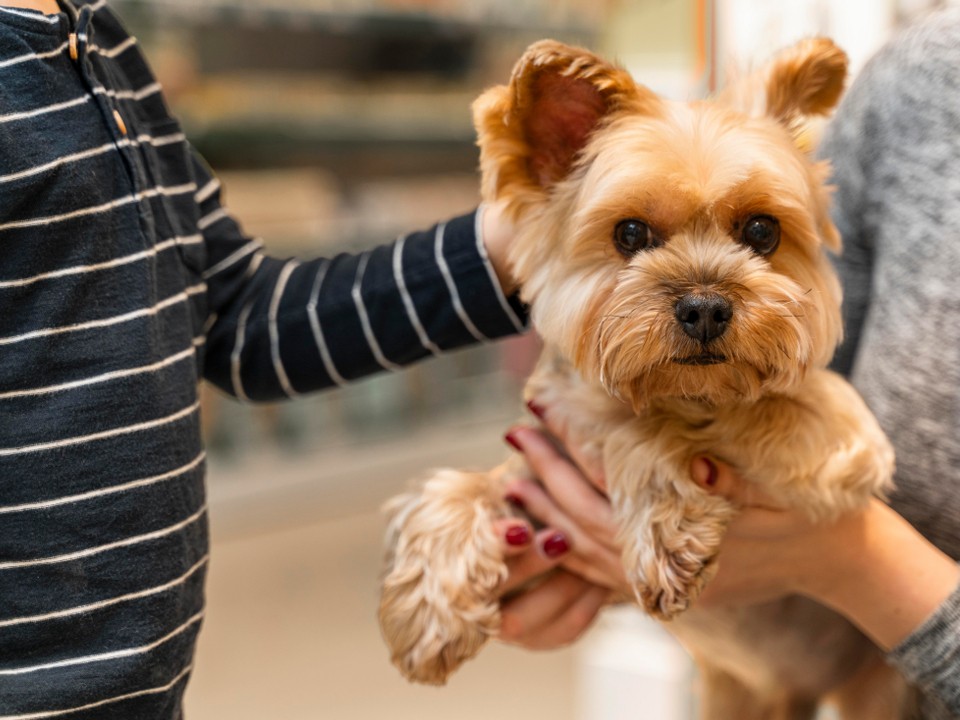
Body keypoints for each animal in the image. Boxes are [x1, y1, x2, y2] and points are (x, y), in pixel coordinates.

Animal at [376, 40, 908, 720]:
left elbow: (650, 427)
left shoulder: (839, 439)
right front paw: (428, 613)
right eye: (629, 232)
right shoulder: (546, 513)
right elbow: (461, 485)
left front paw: (667, 523)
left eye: (762, 231)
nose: (705, 308)